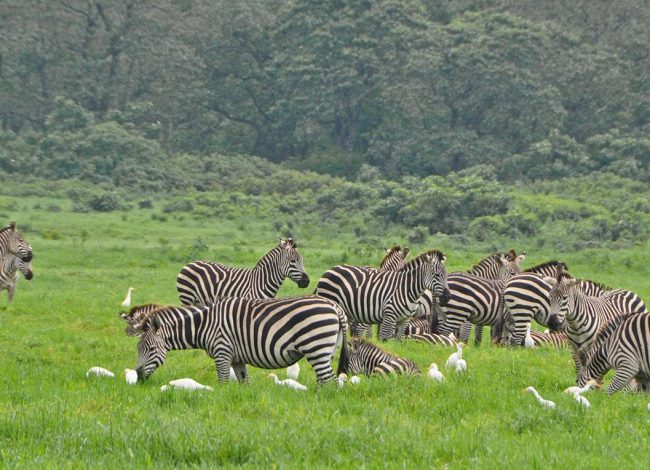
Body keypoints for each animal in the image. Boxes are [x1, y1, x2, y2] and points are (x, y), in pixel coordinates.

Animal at [133, 295, 347, 385]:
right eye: (138, 349)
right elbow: (244, 383)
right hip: (326, 350)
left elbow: (223, 382)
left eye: (151, 349)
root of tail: (334, 306)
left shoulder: (222, 352)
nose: (139, 375)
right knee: (324, 379)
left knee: (330, 380)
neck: (205, 325)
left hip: (316, 346)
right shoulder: (237, 359)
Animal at [176, 238, 309, 306]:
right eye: (293, 261)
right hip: (187, 298)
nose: (307, 281)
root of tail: (190, 263)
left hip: (198, 301)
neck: (261, 282)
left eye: (302, 260)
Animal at [315, 250, 450, 341]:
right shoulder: (388, 317)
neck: (406, 289)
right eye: (437, 275)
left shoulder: (404, 320)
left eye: (446, 274)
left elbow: (397, 341)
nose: (448, 297)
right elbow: (383, 339)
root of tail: (329, 270)